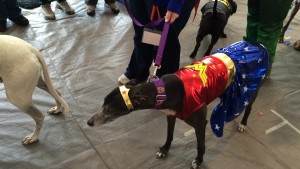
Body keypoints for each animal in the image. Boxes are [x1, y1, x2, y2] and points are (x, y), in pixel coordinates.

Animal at [87, 41, 270, 169]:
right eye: (102, 102)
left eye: (110, 109)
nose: (89, 122)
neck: (164, 89)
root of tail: (258, 45)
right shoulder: (171, 115)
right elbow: (169, 134)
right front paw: (164, 149)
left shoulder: (200, 124)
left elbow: (201, 145)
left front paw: (199, 160)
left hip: (252, 89)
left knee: (249, 107)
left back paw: (243, 124)